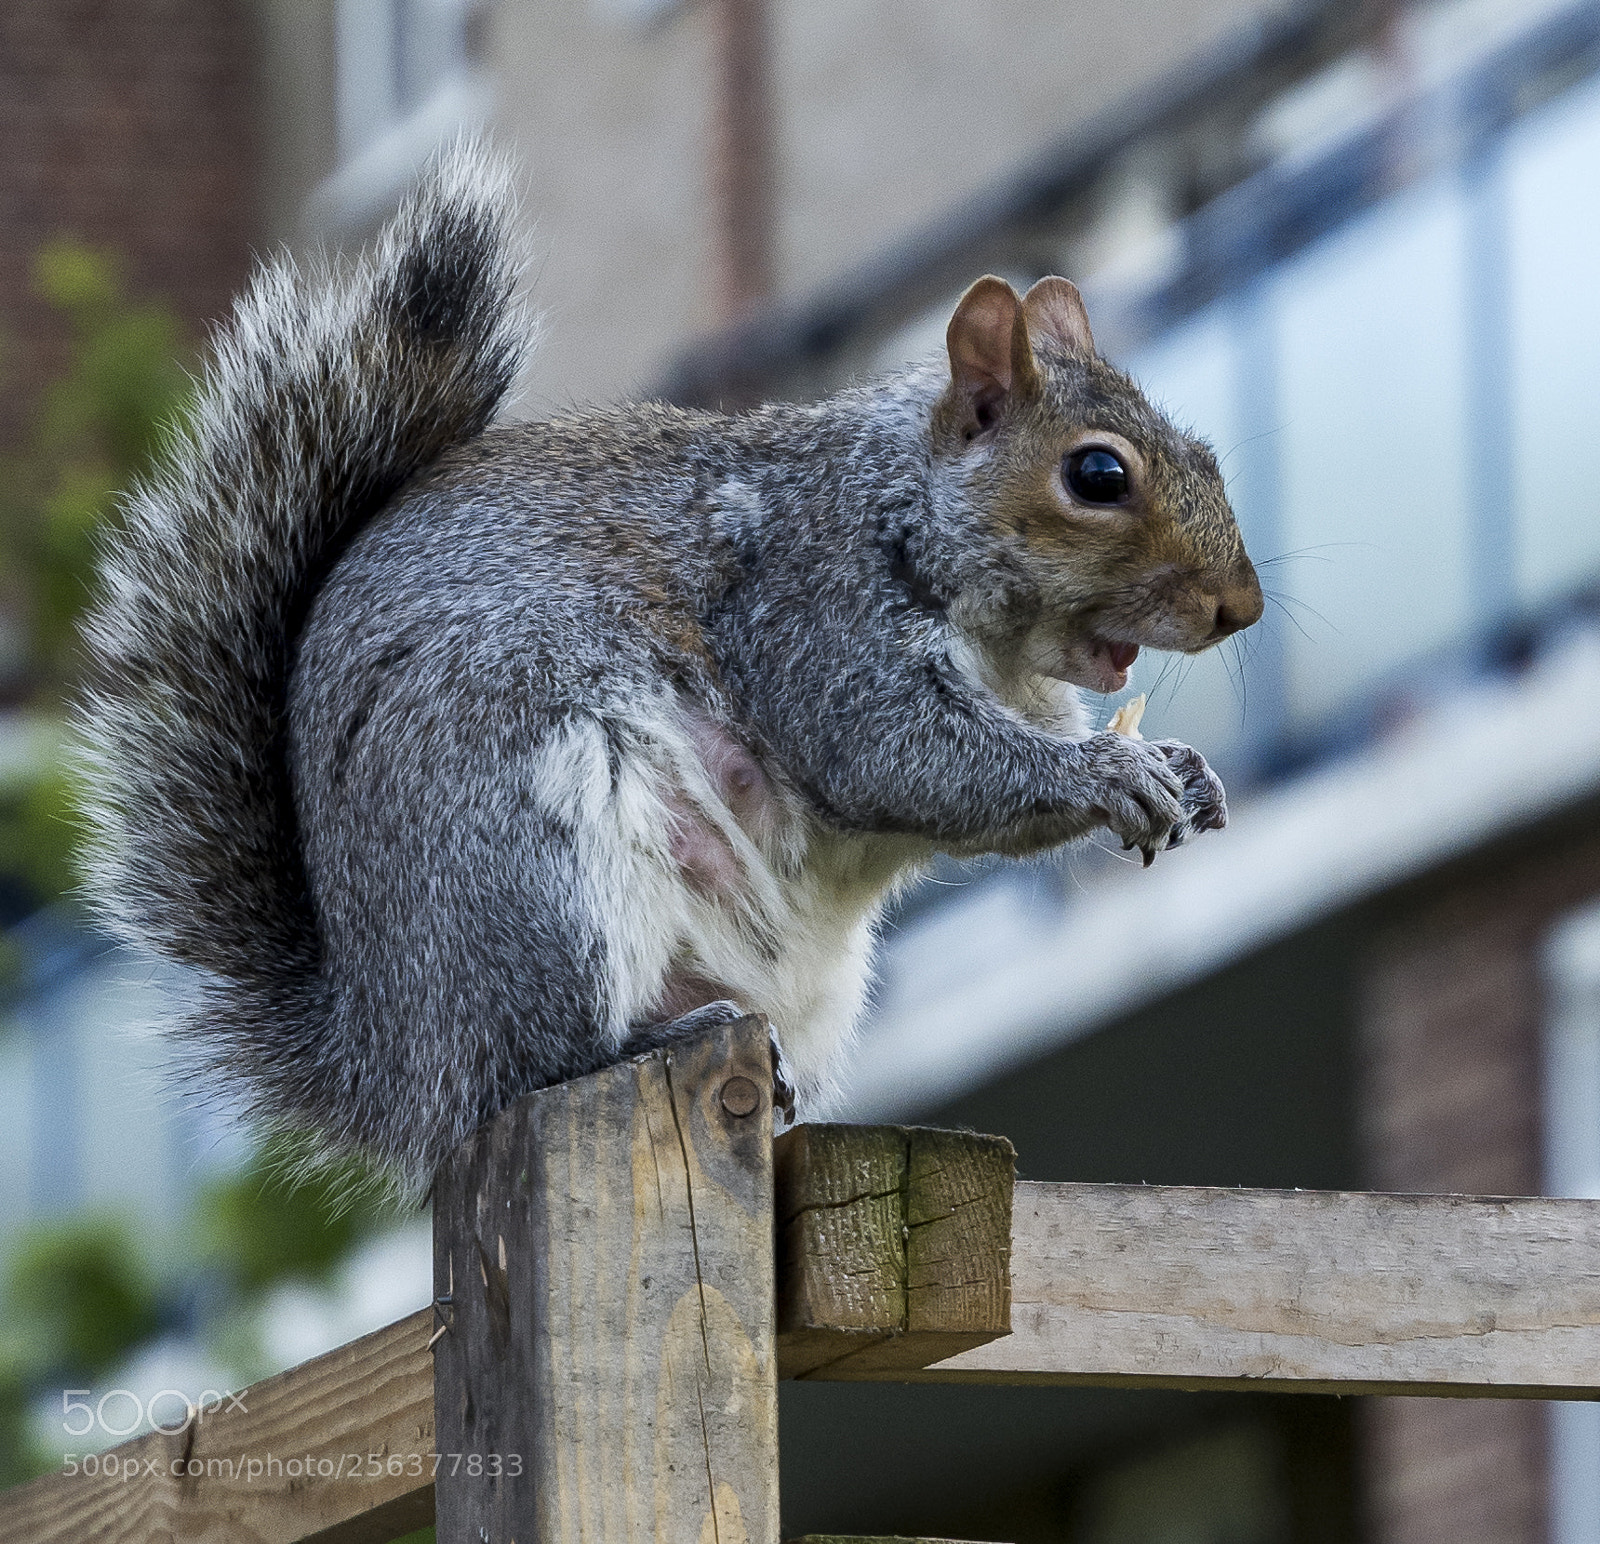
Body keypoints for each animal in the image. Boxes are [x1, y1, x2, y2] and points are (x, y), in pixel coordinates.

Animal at [77, 145, 1262, 1193]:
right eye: (1097, 475)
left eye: (1205, 453)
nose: (1238, 607)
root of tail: (393, 1056)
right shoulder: (810, 613)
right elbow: (905, 759)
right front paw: (1108, 777)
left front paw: (1182, 768)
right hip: (534, 865)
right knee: (536, 1061)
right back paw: (647, 1036)